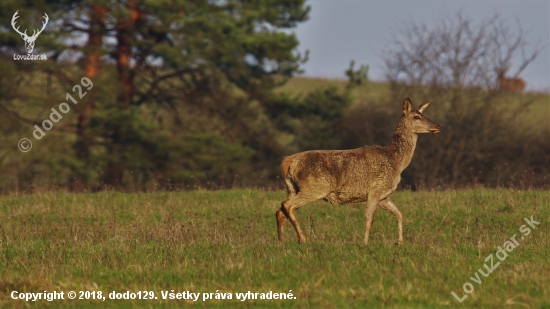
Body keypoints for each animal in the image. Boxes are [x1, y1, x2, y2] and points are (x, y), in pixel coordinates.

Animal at [278, 97, 442, 244]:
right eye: (417, 116)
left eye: (423, 114)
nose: (438, 126)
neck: (397, 161)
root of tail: (288, 161)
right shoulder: (376, 189)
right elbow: (369, 218)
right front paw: (365, 243)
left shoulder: (384, 195)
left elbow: (399, 213)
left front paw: (400, 242)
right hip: (315, 187)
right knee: (287, 205)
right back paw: (302, 238)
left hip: (292, 188)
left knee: (281, 210)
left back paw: (282, 241)